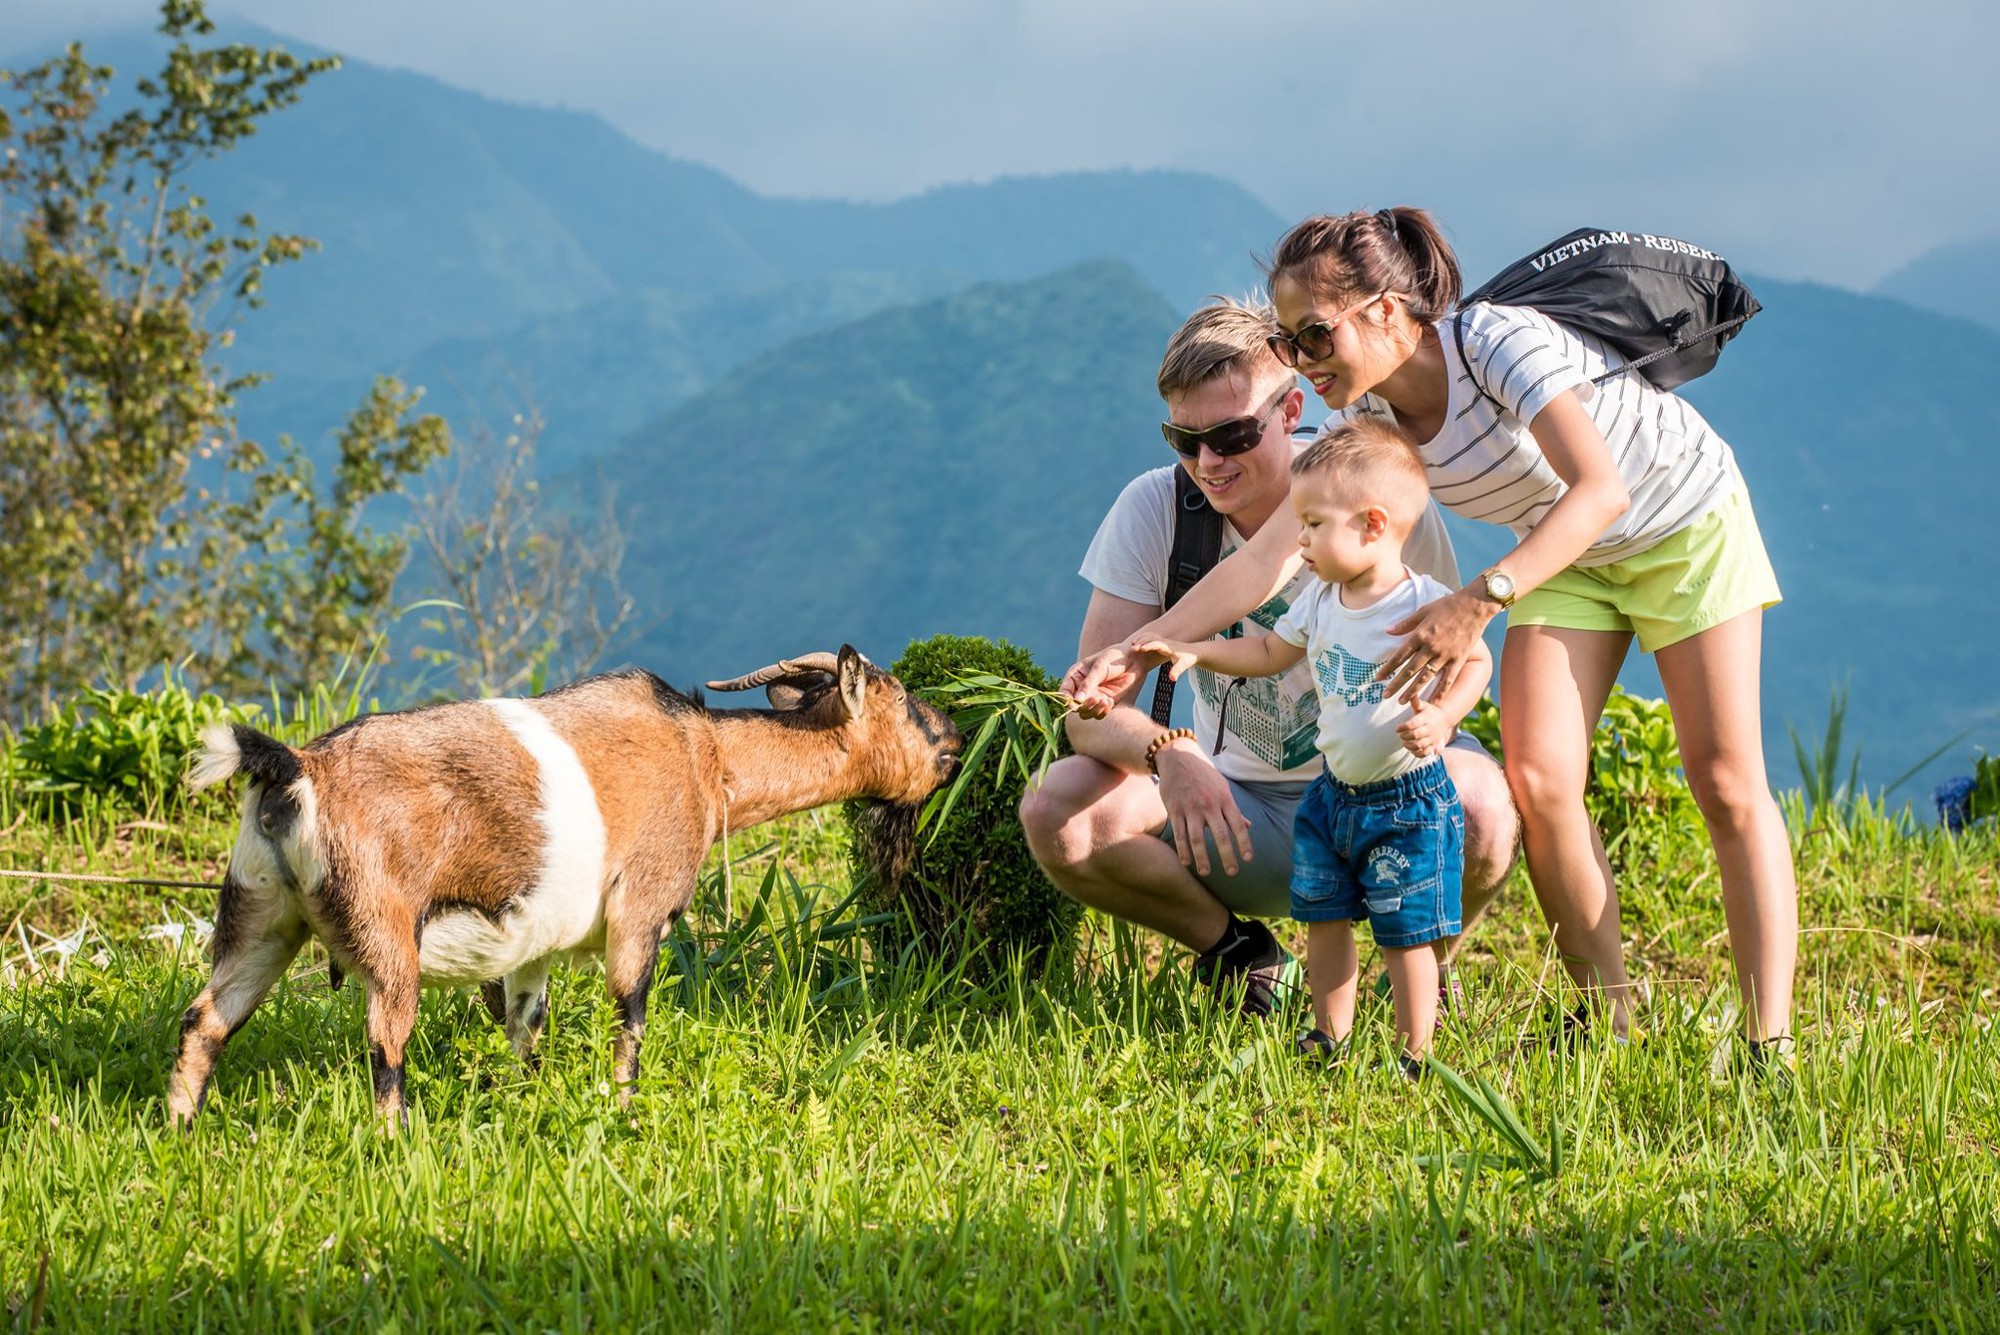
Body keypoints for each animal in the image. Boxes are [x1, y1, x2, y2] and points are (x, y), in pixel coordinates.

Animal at [164, 647, 960, 1127]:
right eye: (907, 705)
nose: (954, 745)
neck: (707, 755)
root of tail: (295, 770)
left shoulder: (532, 945)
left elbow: (526, 1028)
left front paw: (529, 1105)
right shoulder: (642, 909)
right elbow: (628, 1019)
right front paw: (622, 1115)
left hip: (261, 914)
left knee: (205, 1018)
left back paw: (179, 1129)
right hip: (387, 936)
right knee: (385, 1047)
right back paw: (396, 1145)